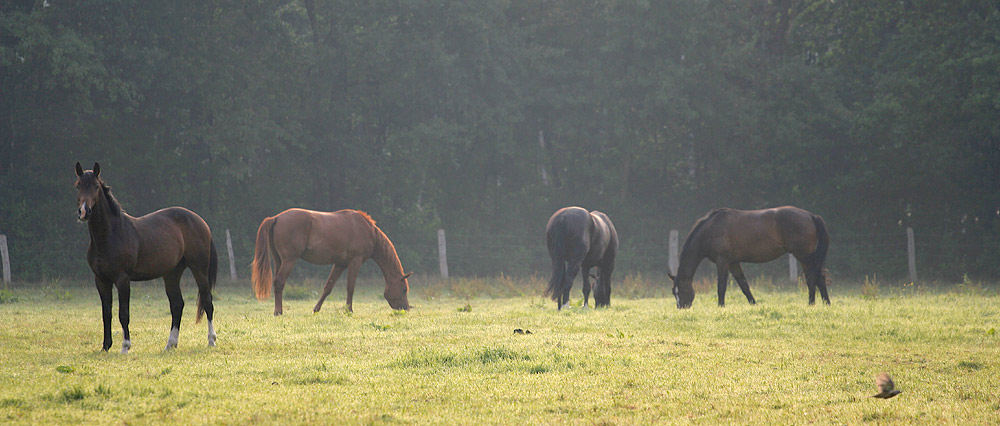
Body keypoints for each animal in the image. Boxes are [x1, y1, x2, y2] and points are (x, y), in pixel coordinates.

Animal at [75, 163, 220, 352]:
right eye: (78, 186)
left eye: (95, 186)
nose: (84, 211)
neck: (110, 235)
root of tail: (201, 222)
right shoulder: (101, 280)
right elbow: (106, 313)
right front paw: (106, 346)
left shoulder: (122, 279)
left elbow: (123, 314)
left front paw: (125, 346)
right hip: (172, 274)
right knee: (177, 305)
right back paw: (170, 344)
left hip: (199, 270)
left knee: (207, 302)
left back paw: (211, 340)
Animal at [252, 208, 412, 314]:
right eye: (404, 289)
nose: (405, 308)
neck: (368, 231)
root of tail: (276, 218)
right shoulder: (355, 261)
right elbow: (350, 287)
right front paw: (349, 310)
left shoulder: (340, 264)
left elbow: (328, 287)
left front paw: (316, 309)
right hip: (289, 260)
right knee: (279, 282)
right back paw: (278, 311)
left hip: (279, 260)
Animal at [664, 205, 828, 308]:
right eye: (673, 292)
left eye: (681, 289)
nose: (681, 307)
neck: (711, 230)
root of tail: (810, 216)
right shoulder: (734, 262)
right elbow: (744, 285)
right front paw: (753, 304)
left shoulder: (722, 261)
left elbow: (721, 286)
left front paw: (720, 306)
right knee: (817, 277)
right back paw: (824, 303)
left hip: (804, 256)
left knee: (813, 278)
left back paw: (813, 303)